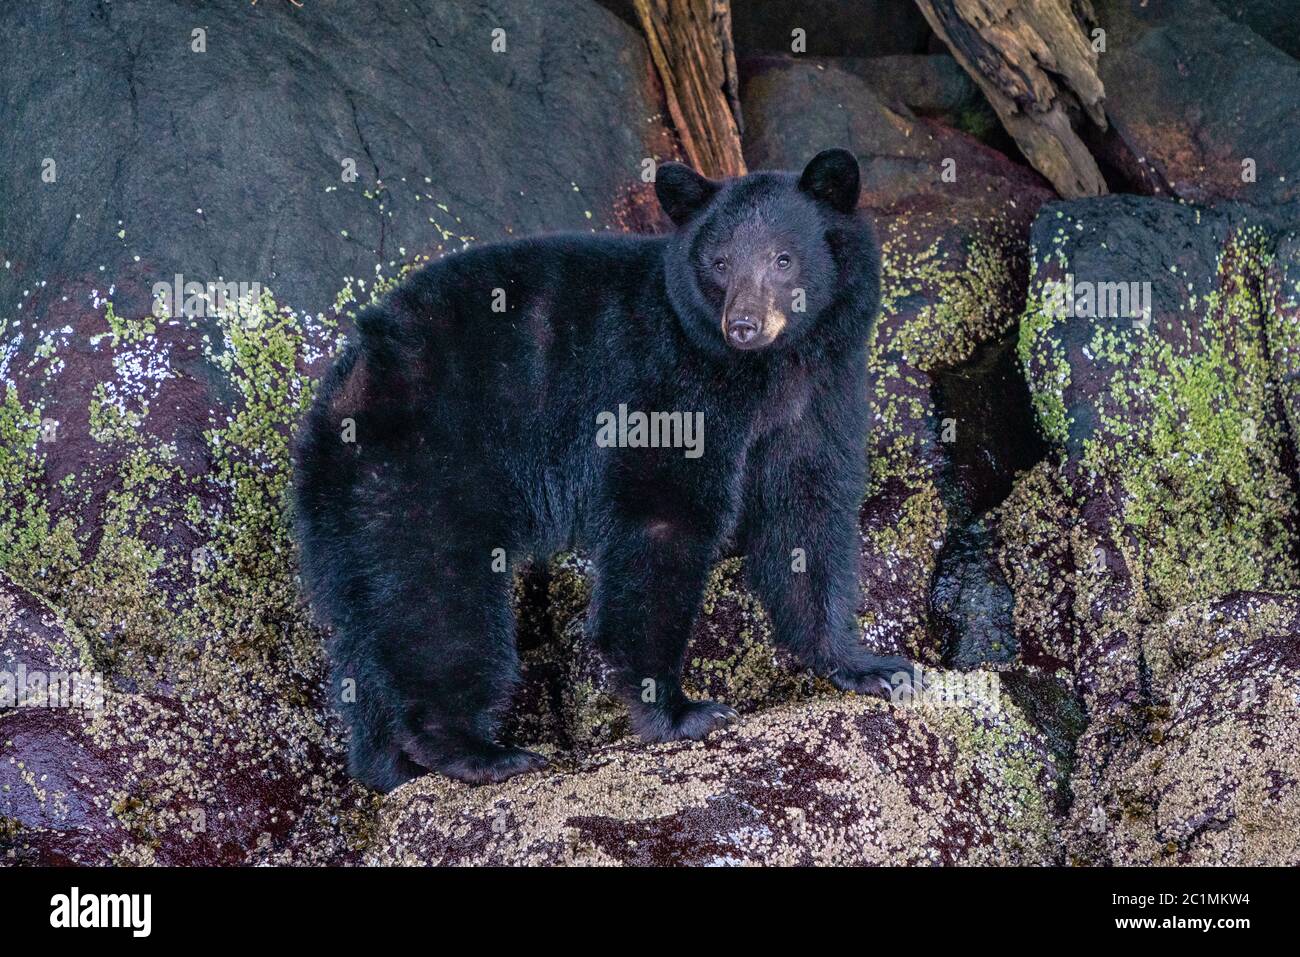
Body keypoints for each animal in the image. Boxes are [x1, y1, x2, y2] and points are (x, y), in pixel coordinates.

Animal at [297, 149, 915, 790]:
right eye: (719, 262)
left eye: (783, 258)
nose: (742, 325)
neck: (766, 373)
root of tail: (345, 385)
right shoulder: (668, 387)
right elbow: (663, 517)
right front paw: (679, 708)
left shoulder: (818, 397)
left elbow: (807, 513)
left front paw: (867, 665)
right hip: (427, 467)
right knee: (438, 597)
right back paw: (477, 751)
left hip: (346, 512)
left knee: (365, 627)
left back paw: (383, 765)